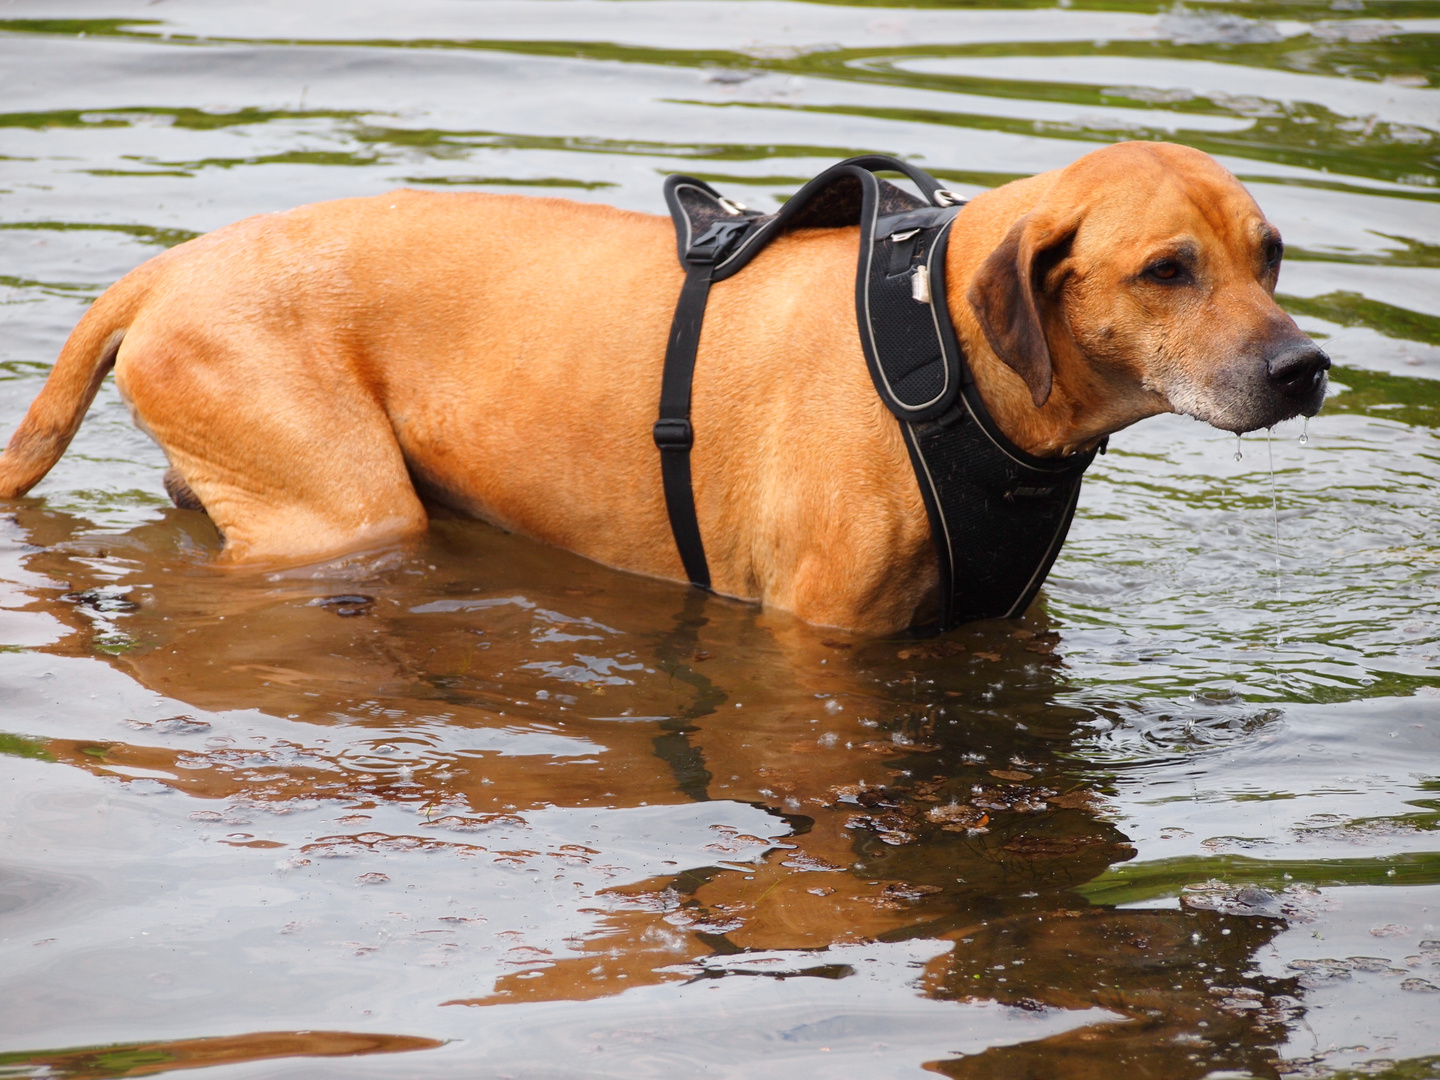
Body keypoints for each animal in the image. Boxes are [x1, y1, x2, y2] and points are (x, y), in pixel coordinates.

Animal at [0, 142, 1324, 633]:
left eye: (1269, 255)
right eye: (1167, 269)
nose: (1306, 368)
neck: (940, 340)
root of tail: (170, 265)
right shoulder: (819, 642)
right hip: (340, 512)